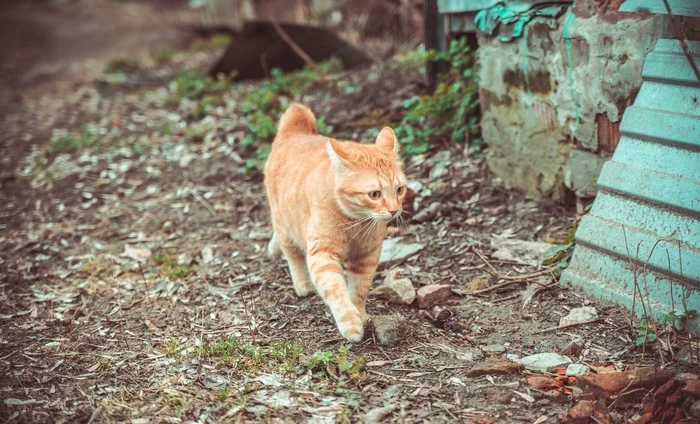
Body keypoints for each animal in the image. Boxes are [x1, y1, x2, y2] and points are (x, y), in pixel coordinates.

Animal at [262, 102, 408, 342]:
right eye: (375, 194)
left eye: (399, 190)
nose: (394, 210)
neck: (356, 222)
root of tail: (295, 132)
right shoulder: (323, 254)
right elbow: (335, 290)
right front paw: (350, 322)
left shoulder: (367, 256)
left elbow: (359, 289)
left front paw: (360, 314)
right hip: (284, 224)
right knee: (292, 254)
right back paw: (301, 282)